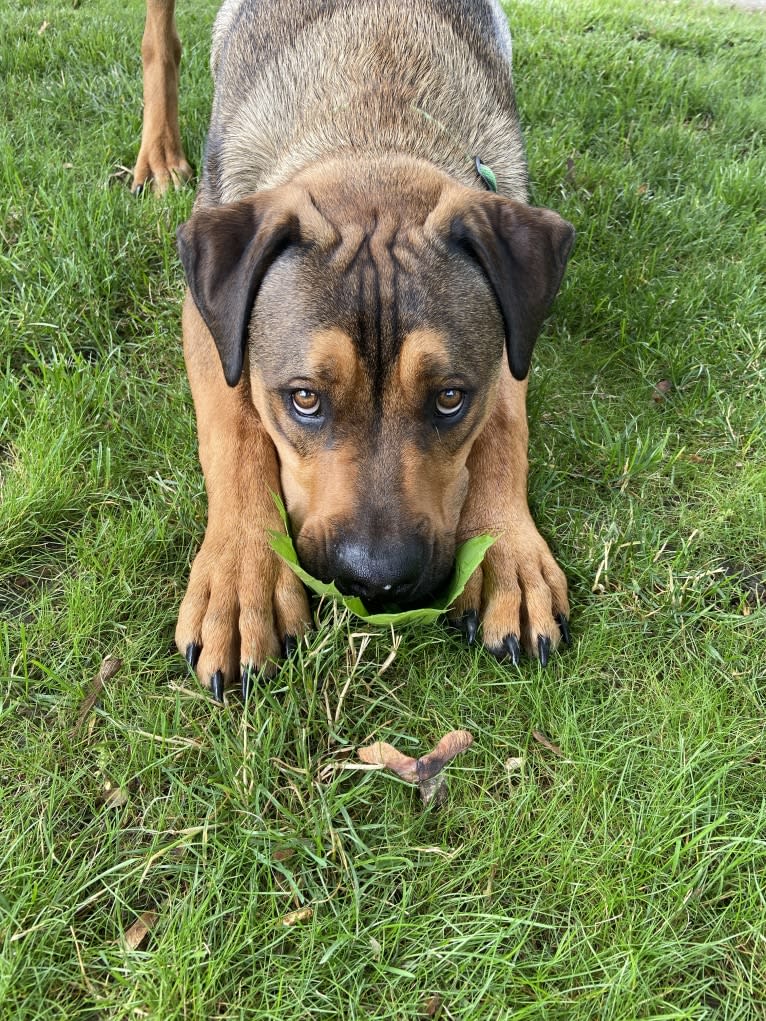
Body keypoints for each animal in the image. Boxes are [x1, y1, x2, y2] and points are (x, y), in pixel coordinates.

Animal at [133, 0, 576, 702]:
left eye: (450, 398)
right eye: (304, 399)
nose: (377, 579)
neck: (375, 115)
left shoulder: (515, 331)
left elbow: (506, 423)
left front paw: (508, 554)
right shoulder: (208, 323)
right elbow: (236, 429)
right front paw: (243, 578)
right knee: (160, 40)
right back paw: (158, 153)